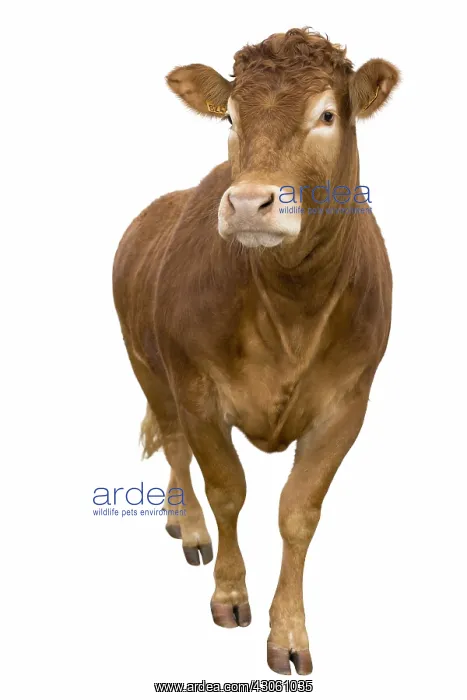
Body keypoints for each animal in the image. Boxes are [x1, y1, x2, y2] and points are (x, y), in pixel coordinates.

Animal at [113, 28, 399, 675]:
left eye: (327, 114)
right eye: (230, 116)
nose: (247, 203)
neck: (292, 304)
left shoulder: (348, 404)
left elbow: (298, 513)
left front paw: (289, 633)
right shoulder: (197, 391)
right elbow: (226, 490)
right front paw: (229, 593)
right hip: (146, 365)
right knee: (174, 444)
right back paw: (187, 526)